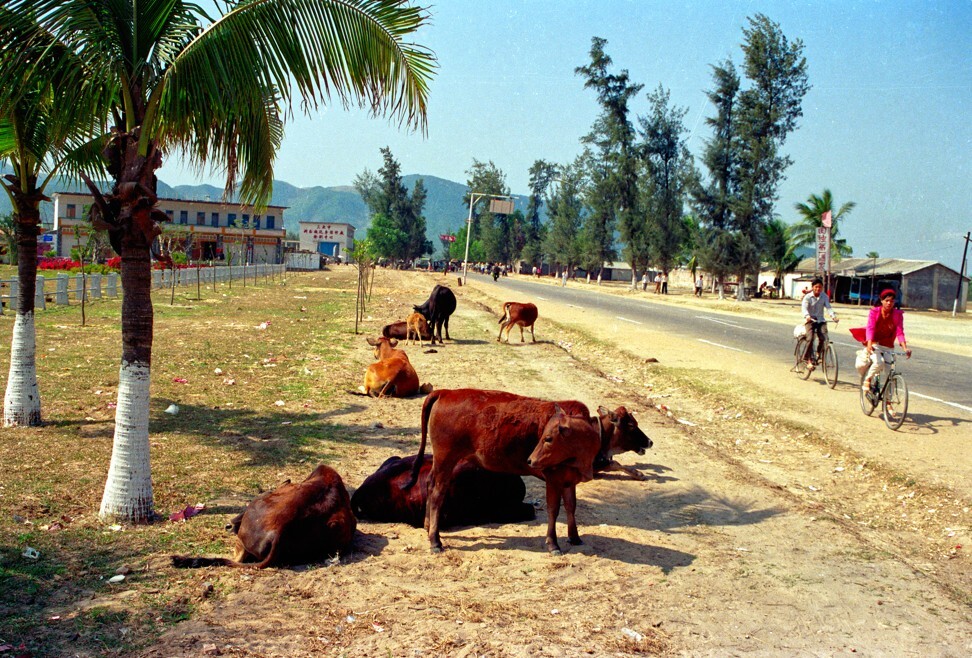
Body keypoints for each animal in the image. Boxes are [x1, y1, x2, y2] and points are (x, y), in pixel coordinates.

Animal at [406, 390, 628, 552]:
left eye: (548, 438)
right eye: (631, 426)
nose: (531, 459)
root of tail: (445, 392)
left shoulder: (569, 479)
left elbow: (571, 507)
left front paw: (574, 537)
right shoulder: (553, 478)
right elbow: (553, 510)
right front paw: (553, 543)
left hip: (440, 463)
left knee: (429, 484)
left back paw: (429, 527)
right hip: (446, 460)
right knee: (437, 493)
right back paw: (435, 541)